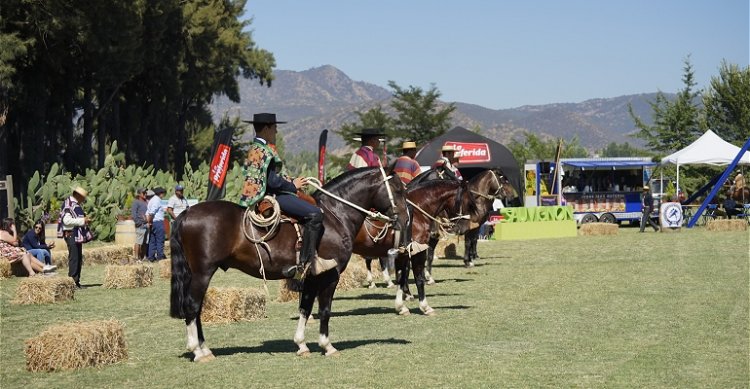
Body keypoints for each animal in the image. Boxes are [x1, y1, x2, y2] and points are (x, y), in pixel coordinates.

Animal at [169, 165, 412, 360]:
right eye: (398, 190)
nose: (405, 218)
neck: (335, 215)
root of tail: (187, 213)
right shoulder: (330, 275)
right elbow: (325, 310)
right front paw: (327, 346)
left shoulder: (311, 276)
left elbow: (305, 307)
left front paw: (302, 344)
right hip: (202, 272)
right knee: (192, 306)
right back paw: (197, 351)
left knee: (197, 309)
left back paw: (205, 349)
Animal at [352, 179, 476, 316]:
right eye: (468, 203)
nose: (465, 228)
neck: (417, 213)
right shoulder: (418, 251)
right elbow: (418, 278)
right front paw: (425, 306)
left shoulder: (403, 253)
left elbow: (401, 277)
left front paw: (401, 306)